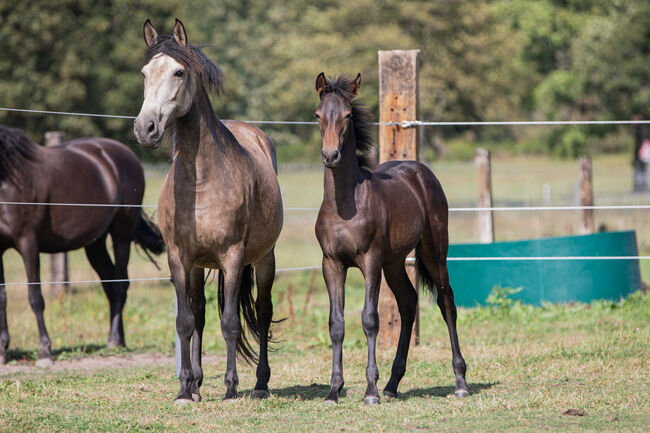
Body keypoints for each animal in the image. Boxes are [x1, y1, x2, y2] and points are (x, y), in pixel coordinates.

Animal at [0, 123, 165, 366]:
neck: (9, 180)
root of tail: (125, 154)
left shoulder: (28, 243)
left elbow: (35, 298)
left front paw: (44, 351)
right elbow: (2, 297)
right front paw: (3, 350)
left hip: (121, 235)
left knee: (119, 284)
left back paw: (114, 340)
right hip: (95, 245)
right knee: (110, 284)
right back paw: (118, 339)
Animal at [133, 20, 282, 404]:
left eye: (179, 72)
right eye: (145, 73)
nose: (145, 128)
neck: (202, 181)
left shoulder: (232, 256)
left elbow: (230, 322)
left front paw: (230, 388)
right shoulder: (179, 257)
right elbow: (185, 321)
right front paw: (186, 389)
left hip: (264, 259)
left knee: (262, 312)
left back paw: (260, 383)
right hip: (199, 266)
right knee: (199, 314)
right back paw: (198, 383)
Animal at [312, 72, 468, 404]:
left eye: (347, 115)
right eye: (318, 115)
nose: (330, 155)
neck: (345, 206)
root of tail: (422, 171)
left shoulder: (370, 260)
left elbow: (370, 319)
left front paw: (370, 391)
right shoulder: (331, 264)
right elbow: (336, 324)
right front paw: (333, 390)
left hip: (434, 252)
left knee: (446, 301)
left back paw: (460, 381)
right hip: (394, 262)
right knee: (408, 302)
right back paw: (393, 383)